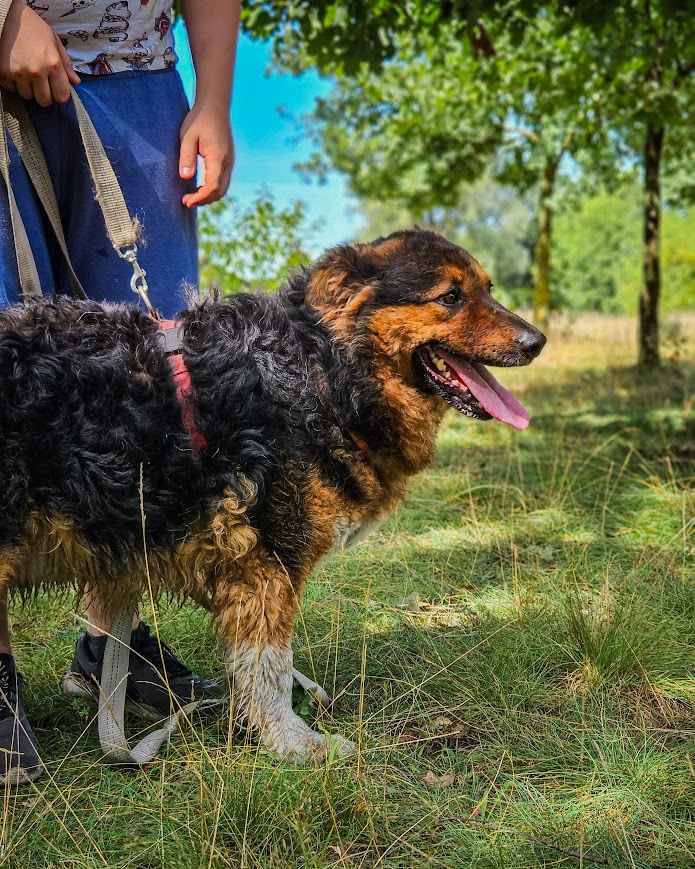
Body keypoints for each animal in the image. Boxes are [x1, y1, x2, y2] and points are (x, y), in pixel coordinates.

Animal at [0, 229, 544, 760]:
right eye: (450, 297)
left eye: (488, 289)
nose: (536, 341)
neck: (319, 368)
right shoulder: (264, 564)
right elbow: (269, 670)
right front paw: (293, 743)